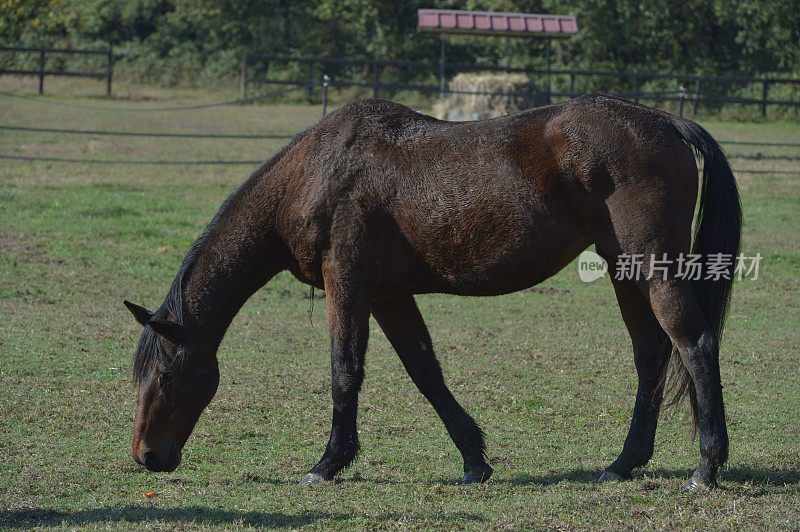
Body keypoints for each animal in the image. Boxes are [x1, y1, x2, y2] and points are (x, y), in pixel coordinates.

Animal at [122, 95, 740, 490]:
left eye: (167, 376)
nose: (147, 456)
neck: (317, 173)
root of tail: (665, 121)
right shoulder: (388, 295)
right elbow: (425, 372)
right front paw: (474, 460)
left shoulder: (347, 283)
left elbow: (345, 370)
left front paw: (328, 463)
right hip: (623, 268)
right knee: (651, 353)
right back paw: (624, 463)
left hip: (652, 268)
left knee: (694, 344)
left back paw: (706, 468)